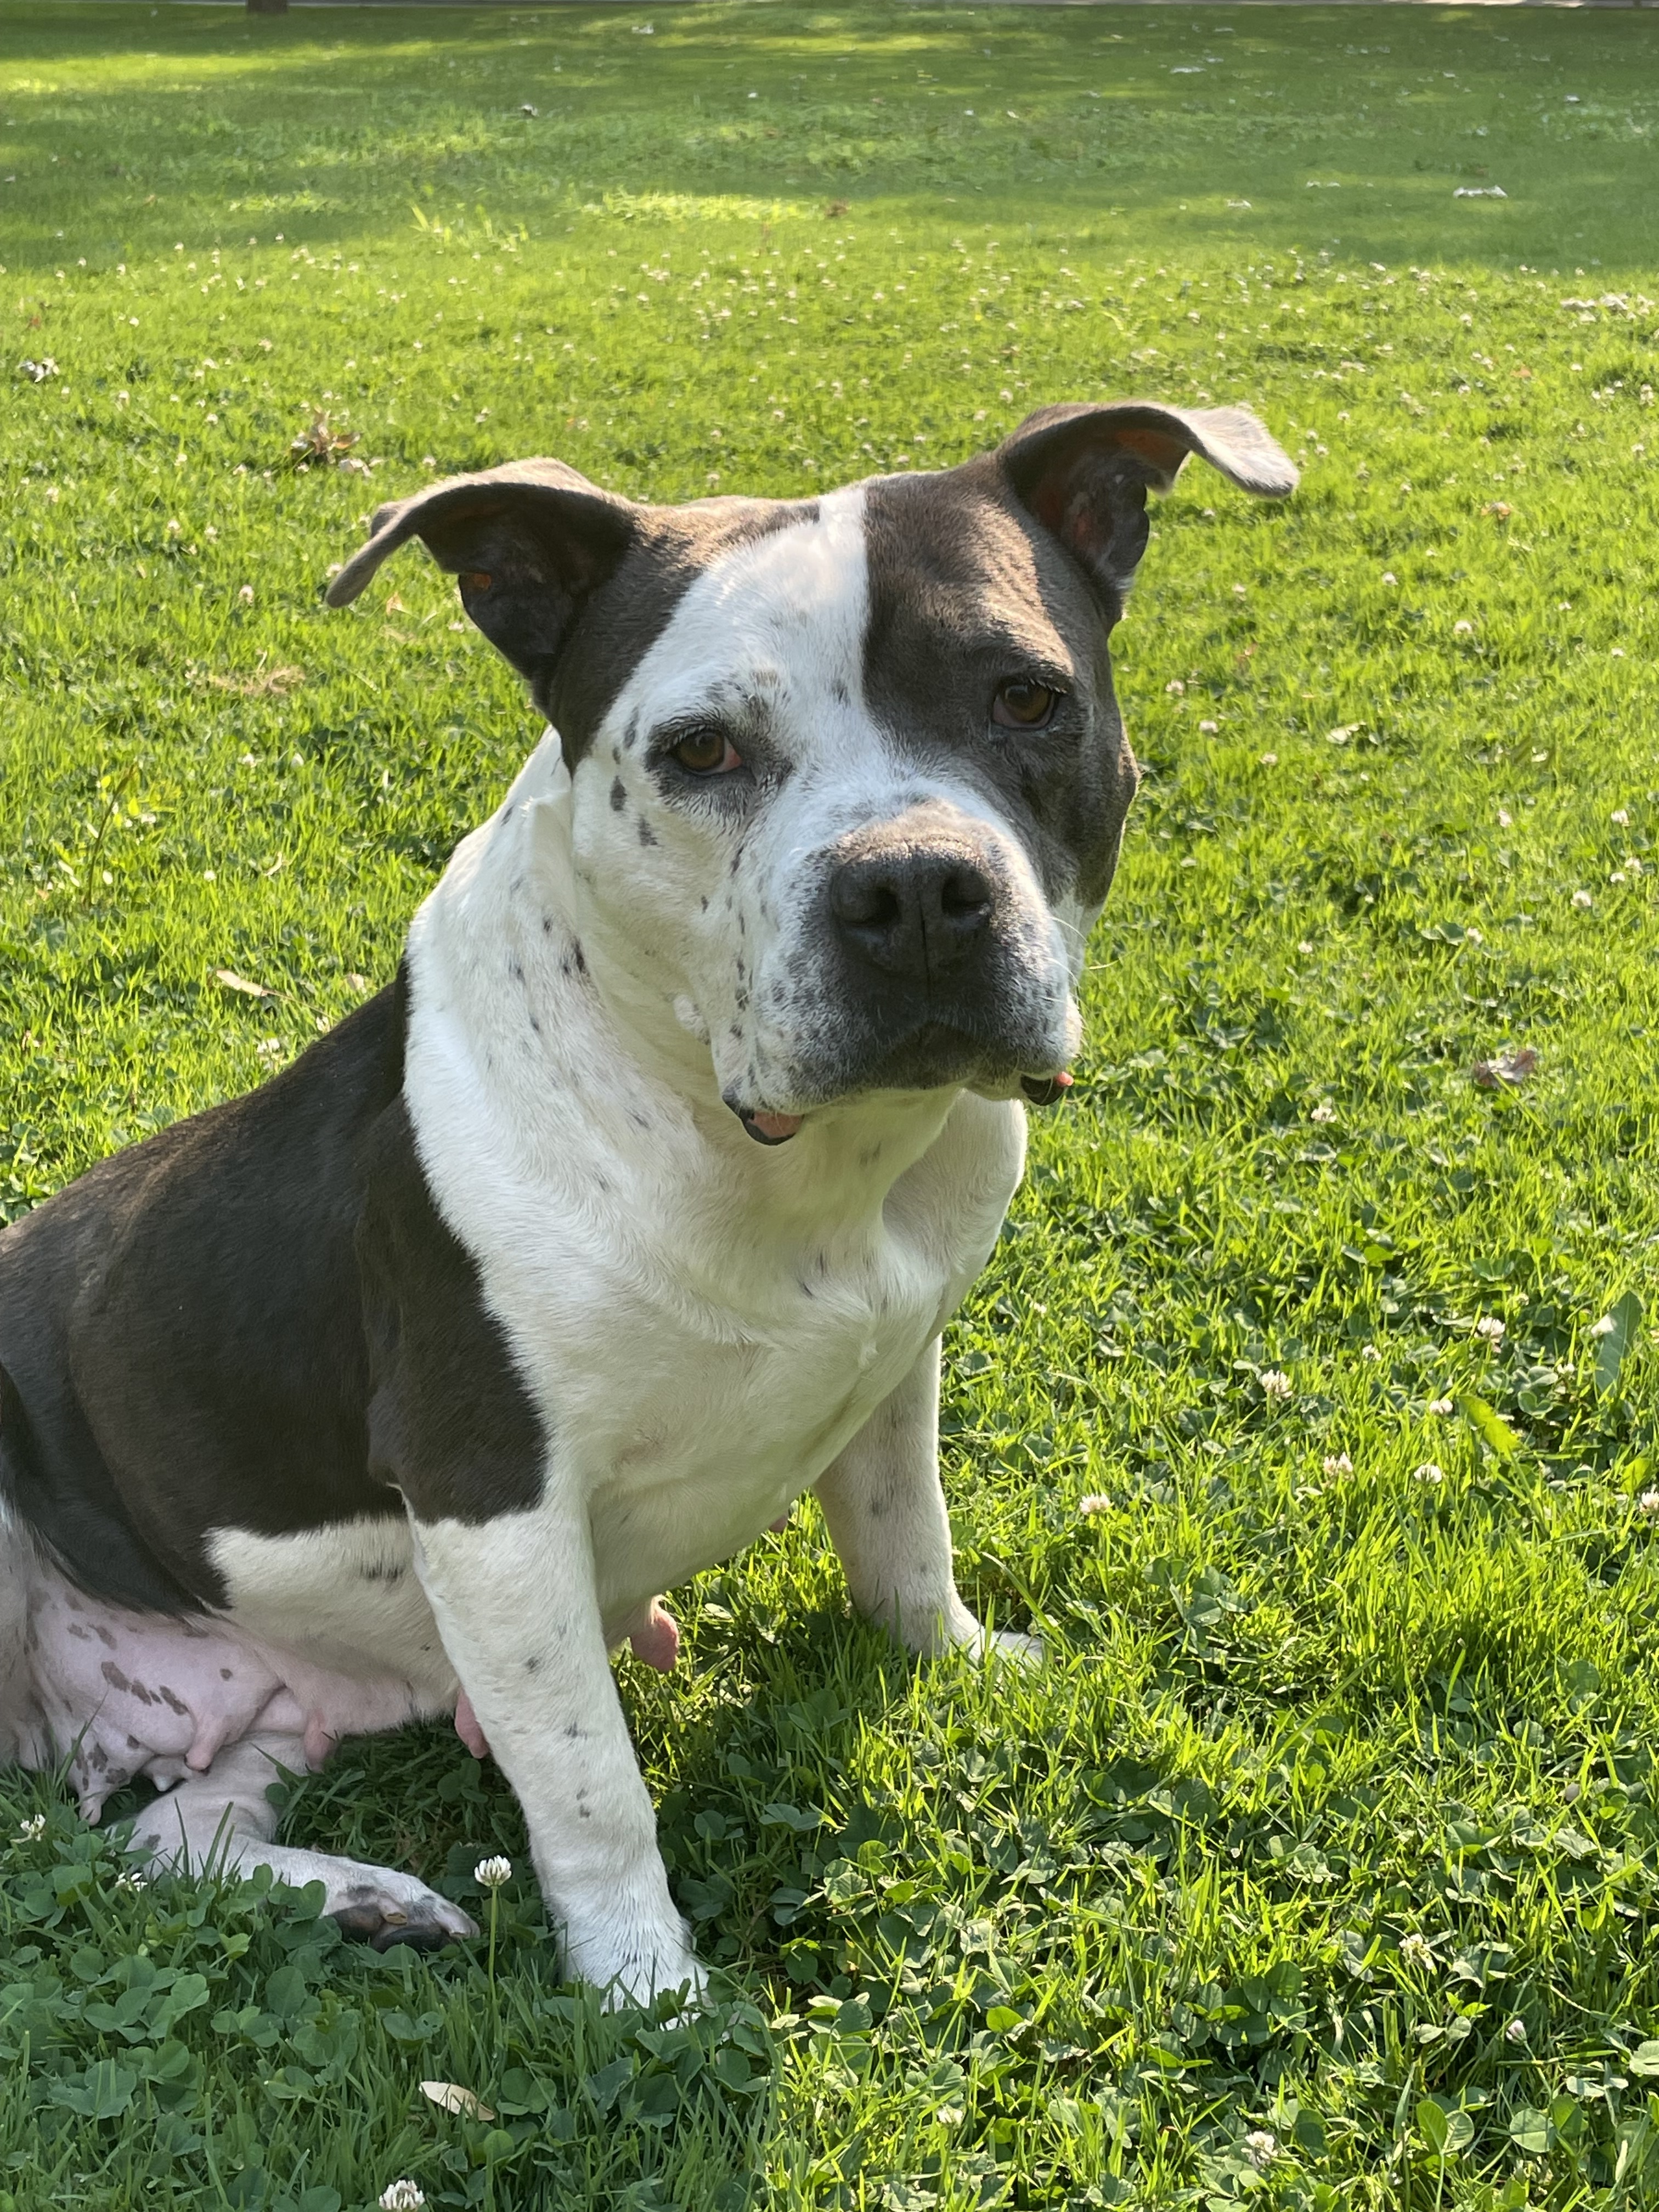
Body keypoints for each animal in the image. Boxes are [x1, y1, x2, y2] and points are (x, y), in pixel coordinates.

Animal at [0, 402, 1300, 2008]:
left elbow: (905, 1541)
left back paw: (361, 1901)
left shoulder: (898, 1366)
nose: (916, 890)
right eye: (700, 753)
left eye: (1027, 697)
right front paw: (646, 1992)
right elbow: (591, 1785)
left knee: (173, 1833)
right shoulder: (492, 1502)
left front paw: (952, 1661)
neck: (783, 1157)